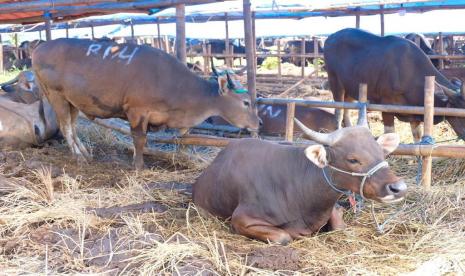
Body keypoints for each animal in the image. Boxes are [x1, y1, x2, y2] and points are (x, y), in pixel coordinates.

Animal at [32, 38, 258, 168]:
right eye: (246, 102)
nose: (259, 123)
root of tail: (40, 47)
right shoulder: (137, 110)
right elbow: (139, 139)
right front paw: (139, 166)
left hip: (73, 101)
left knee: (72, 126)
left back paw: (86, 153)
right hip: (56, 95)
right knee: (65, 127)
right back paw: (78, 157)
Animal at [190, 115, 404, 245]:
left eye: (382, 153)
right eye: (352, 159)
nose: (398, 187)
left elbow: (340, 225)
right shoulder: (241, 218)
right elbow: (284, 237)